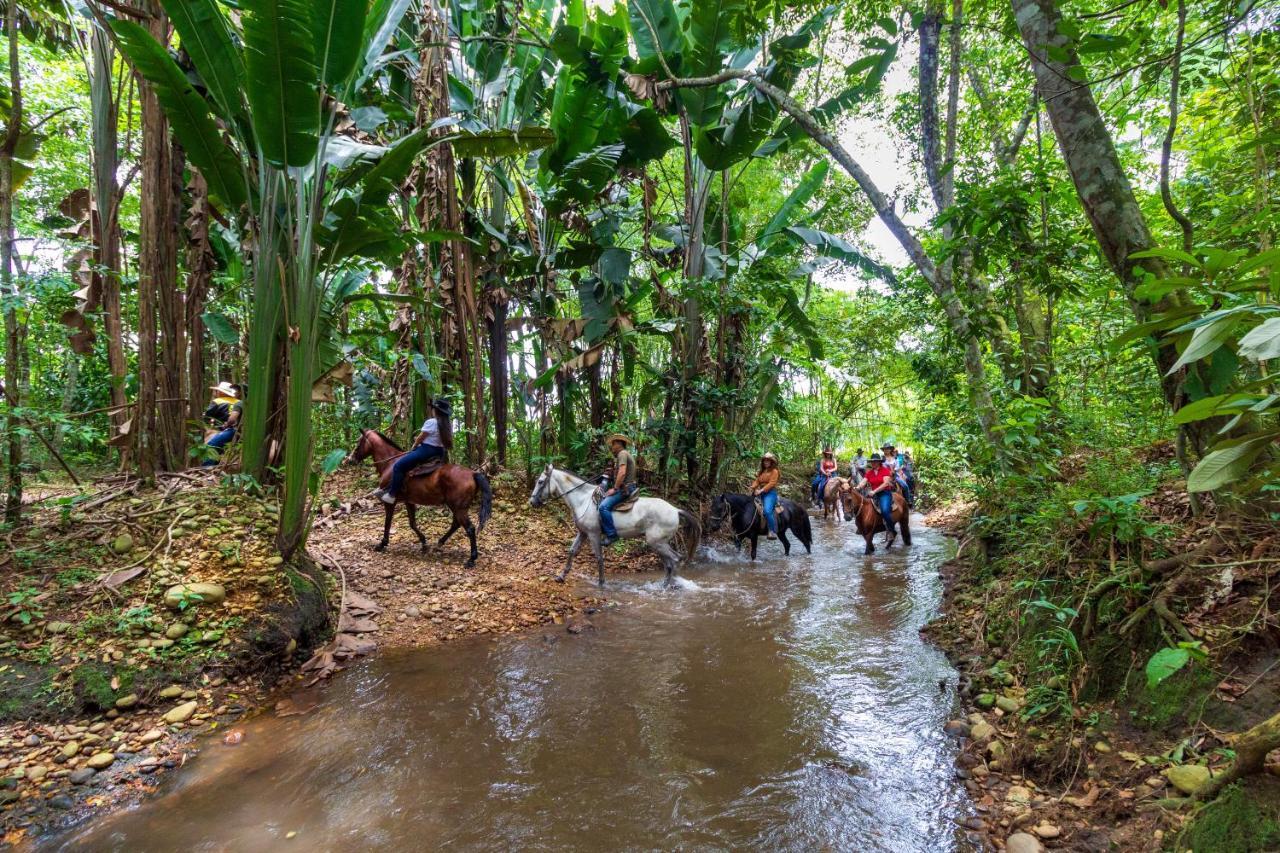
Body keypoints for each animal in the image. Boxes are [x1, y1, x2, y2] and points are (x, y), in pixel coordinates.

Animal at [343, 425, 491, 563]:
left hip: (459, 507)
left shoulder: (390, 502)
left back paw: (472, 558)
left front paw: (382, 544)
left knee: (470, 528)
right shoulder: (409, 501)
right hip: (456, 506)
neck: (390, 463)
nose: (350, 459)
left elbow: (388, 522)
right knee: (456, 524)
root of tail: (473, 473)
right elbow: (412, 523)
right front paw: (424, 542)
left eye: (358, 443)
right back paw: (440, 543)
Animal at [527, 466, 701, 584]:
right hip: (658, 544)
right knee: (669, 564)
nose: (532, 502)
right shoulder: (583, 533)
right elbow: (572, 551)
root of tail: (675, 510)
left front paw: (601, 583)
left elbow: (599, 557)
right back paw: (664, 584)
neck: (583, 499)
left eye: (540, 482)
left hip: (657, 542)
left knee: (675, 559)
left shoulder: (593, 534)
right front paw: (561, 576)